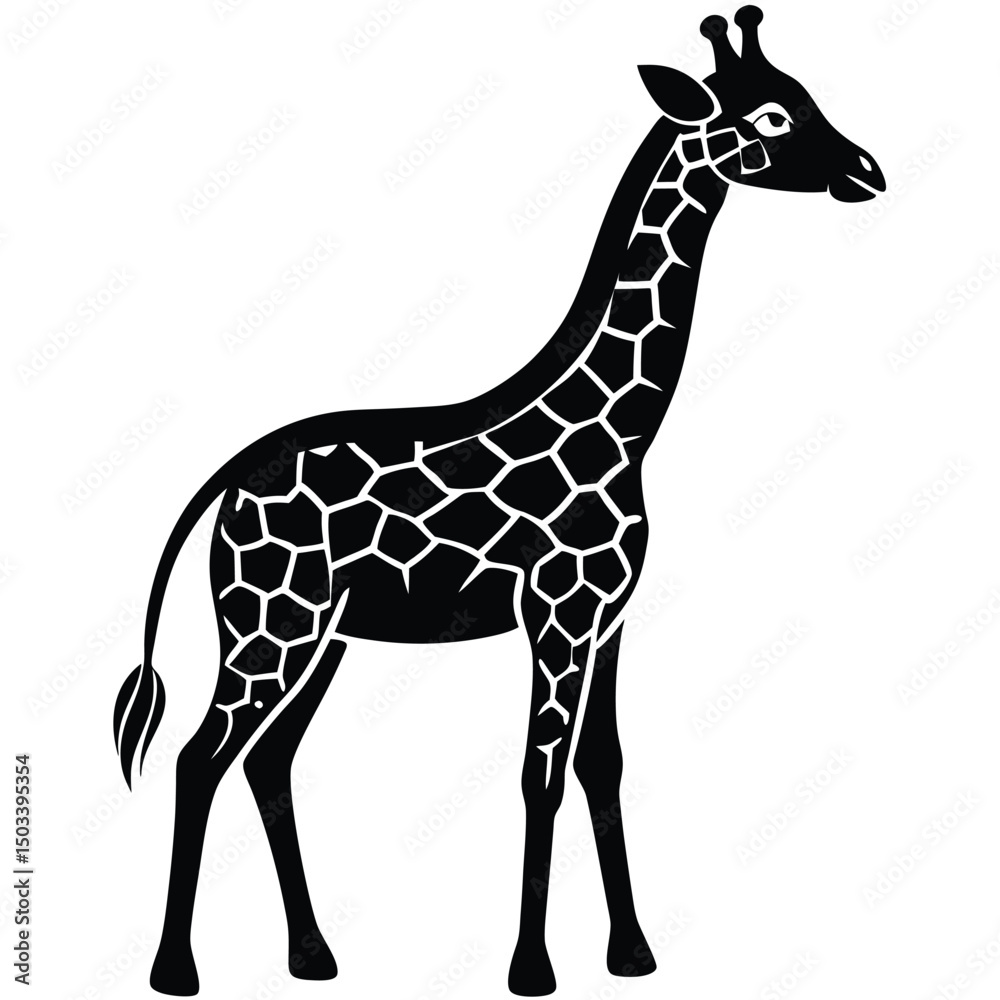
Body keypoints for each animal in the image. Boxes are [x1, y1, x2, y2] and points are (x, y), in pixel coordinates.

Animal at [114, 8, 885, 996]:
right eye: (773, 118)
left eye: (807, 95)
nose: (867, 170)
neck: (623, 427)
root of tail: (226, 480)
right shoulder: (556, 612)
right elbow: (537, 775)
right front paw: (532, 969)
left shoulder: (610, 617)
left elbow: (603, 766)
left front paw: (632, 954)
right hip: (270, 623)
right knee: (199, 757)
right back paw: (177, 970)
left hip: (324, 634)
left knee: (269, 762)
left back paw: (314, 956)